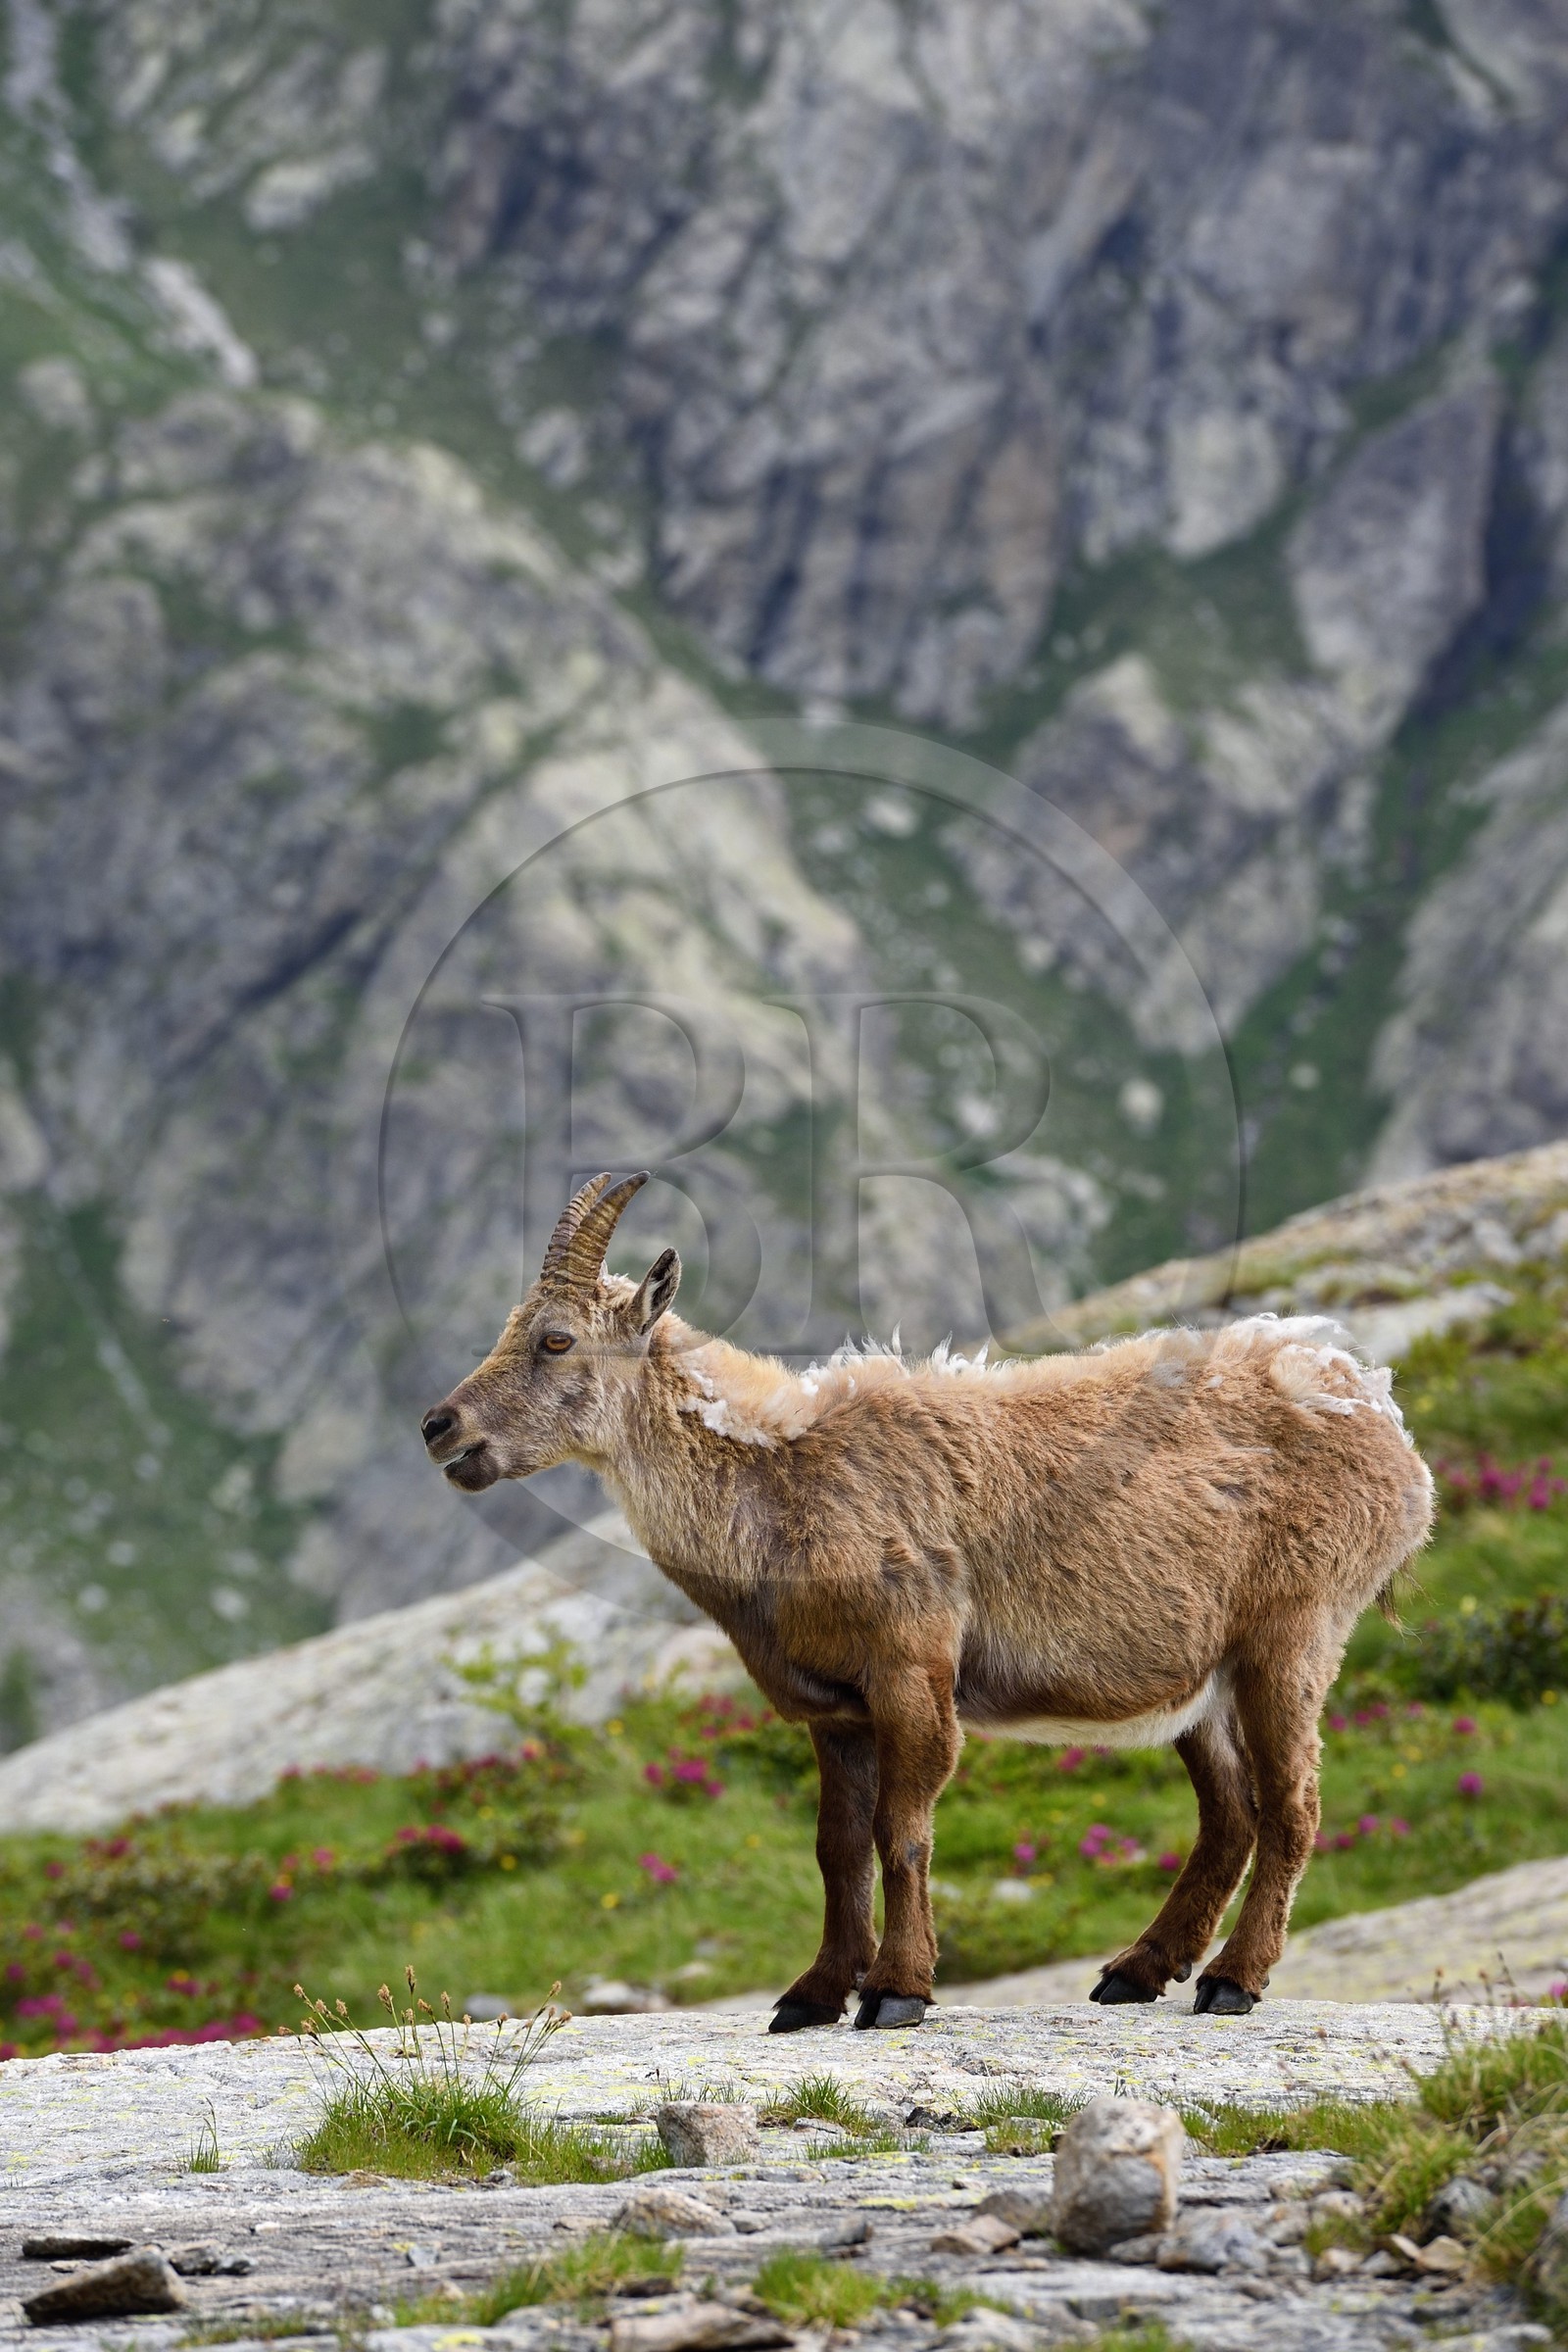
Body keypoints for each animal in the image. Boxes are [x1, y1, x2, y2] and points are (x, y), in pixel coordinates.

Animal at [422, 1172, 1434, 2030]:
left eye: (556, 1338)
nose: (440, 1426)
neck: (783, 1482)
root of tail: (1377, 1411)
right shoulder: (833, 1708)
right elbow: (837, 1847)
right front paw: (814, 1994)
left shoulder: (912, 1667)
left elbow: (902, 1831)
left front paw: (897, 1990)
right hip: (1204, 1674)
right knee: (1230, 1814)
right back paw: (1138, 1970)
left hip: (1293, 1635)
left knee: (1292, 1807)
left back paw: (1232, 1980)